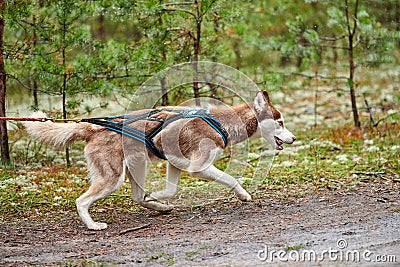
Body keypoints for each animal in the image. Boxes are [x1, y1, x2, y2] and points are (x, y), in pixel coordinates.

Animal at [24, 91, 294, 230]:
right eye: (280, 122)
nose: (293, 137)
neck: (221, 123)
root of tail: (92, 127)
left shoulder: (175, 163)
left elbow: (169, 191)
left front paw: (156, 198)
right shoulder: (198, 167)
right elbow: (230, 179)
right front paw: (243, 195)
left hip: (136, 166)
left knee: (136, 196)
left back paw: (158, 207)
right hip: (112, 178)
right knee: (81, 201)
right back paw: (93, 226)